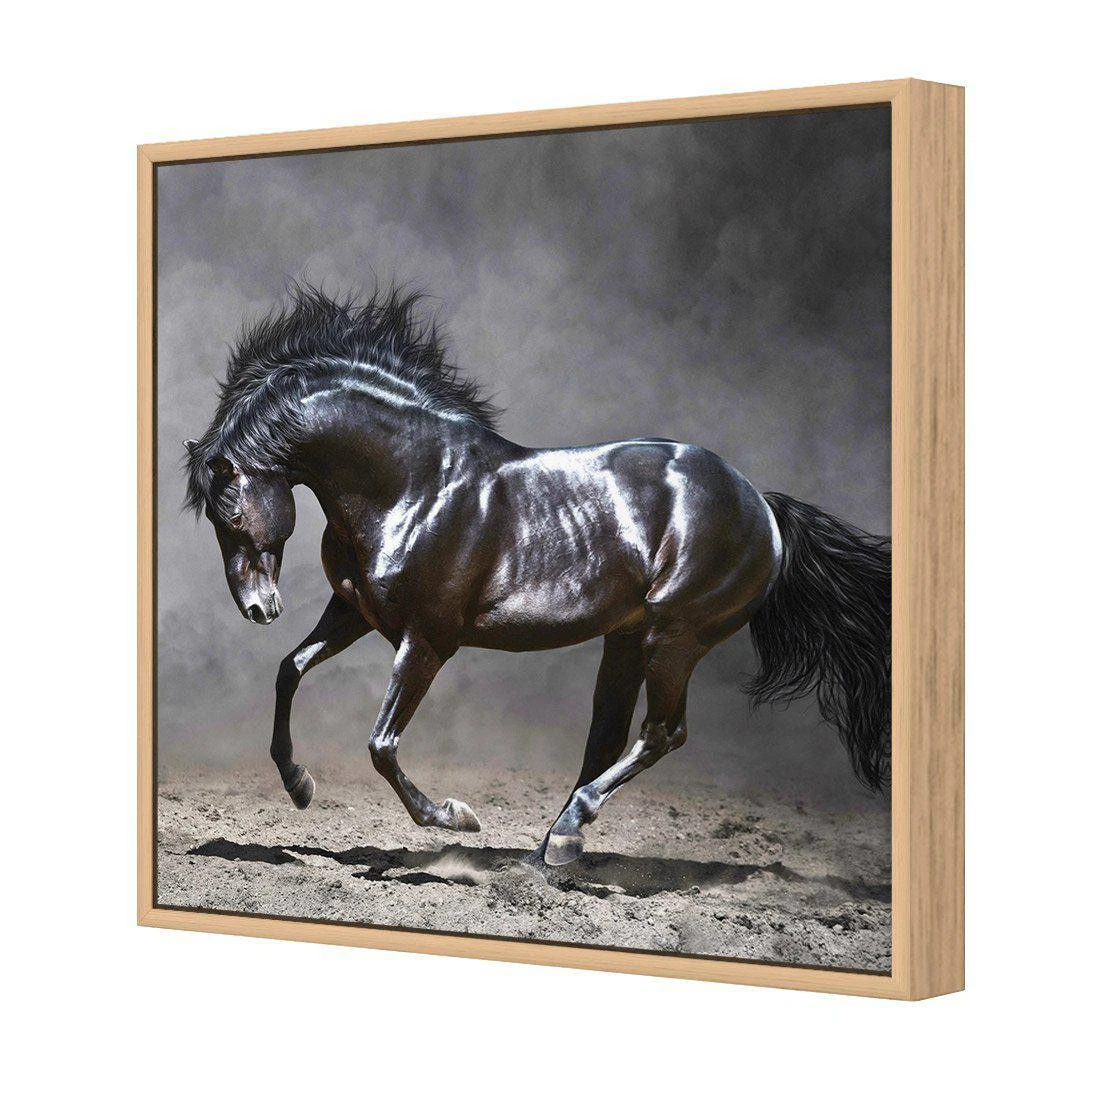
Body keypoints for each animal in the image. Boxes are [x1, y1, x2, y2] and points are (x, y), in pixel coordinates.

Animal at [184, 284, 890, 866]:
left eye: (229, 508)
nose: (258, 608)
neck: (413, 483)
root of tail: (761, 505)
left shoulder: (428, 640)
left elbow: (381, 744)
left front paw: (456, 818)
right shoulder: (355, 611)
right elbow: (290, 670)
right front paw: (299, 786)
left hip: (674, 637)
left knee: (661, 733)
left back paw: (567, 836)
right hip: (627, 639)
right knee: (607, 739)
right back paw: (549, 851)